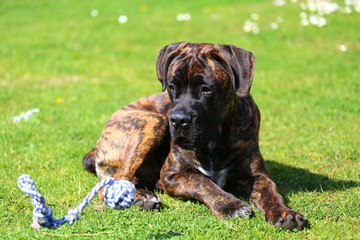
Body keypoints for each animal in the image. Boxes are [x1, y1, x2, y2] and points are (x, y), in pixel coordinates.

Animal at [83, 42, 308, 230]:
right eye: (171, 87)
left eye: (206, 89)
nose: (178, 120)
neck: (215, 141)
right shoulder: (173, 175)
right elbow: (203, 182)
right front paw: (231, 205)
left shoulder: (257, 176)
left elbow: (270, 193)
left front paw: (285, 213)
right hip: (153, 122)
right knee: (112, 185)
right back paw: (141, 197)